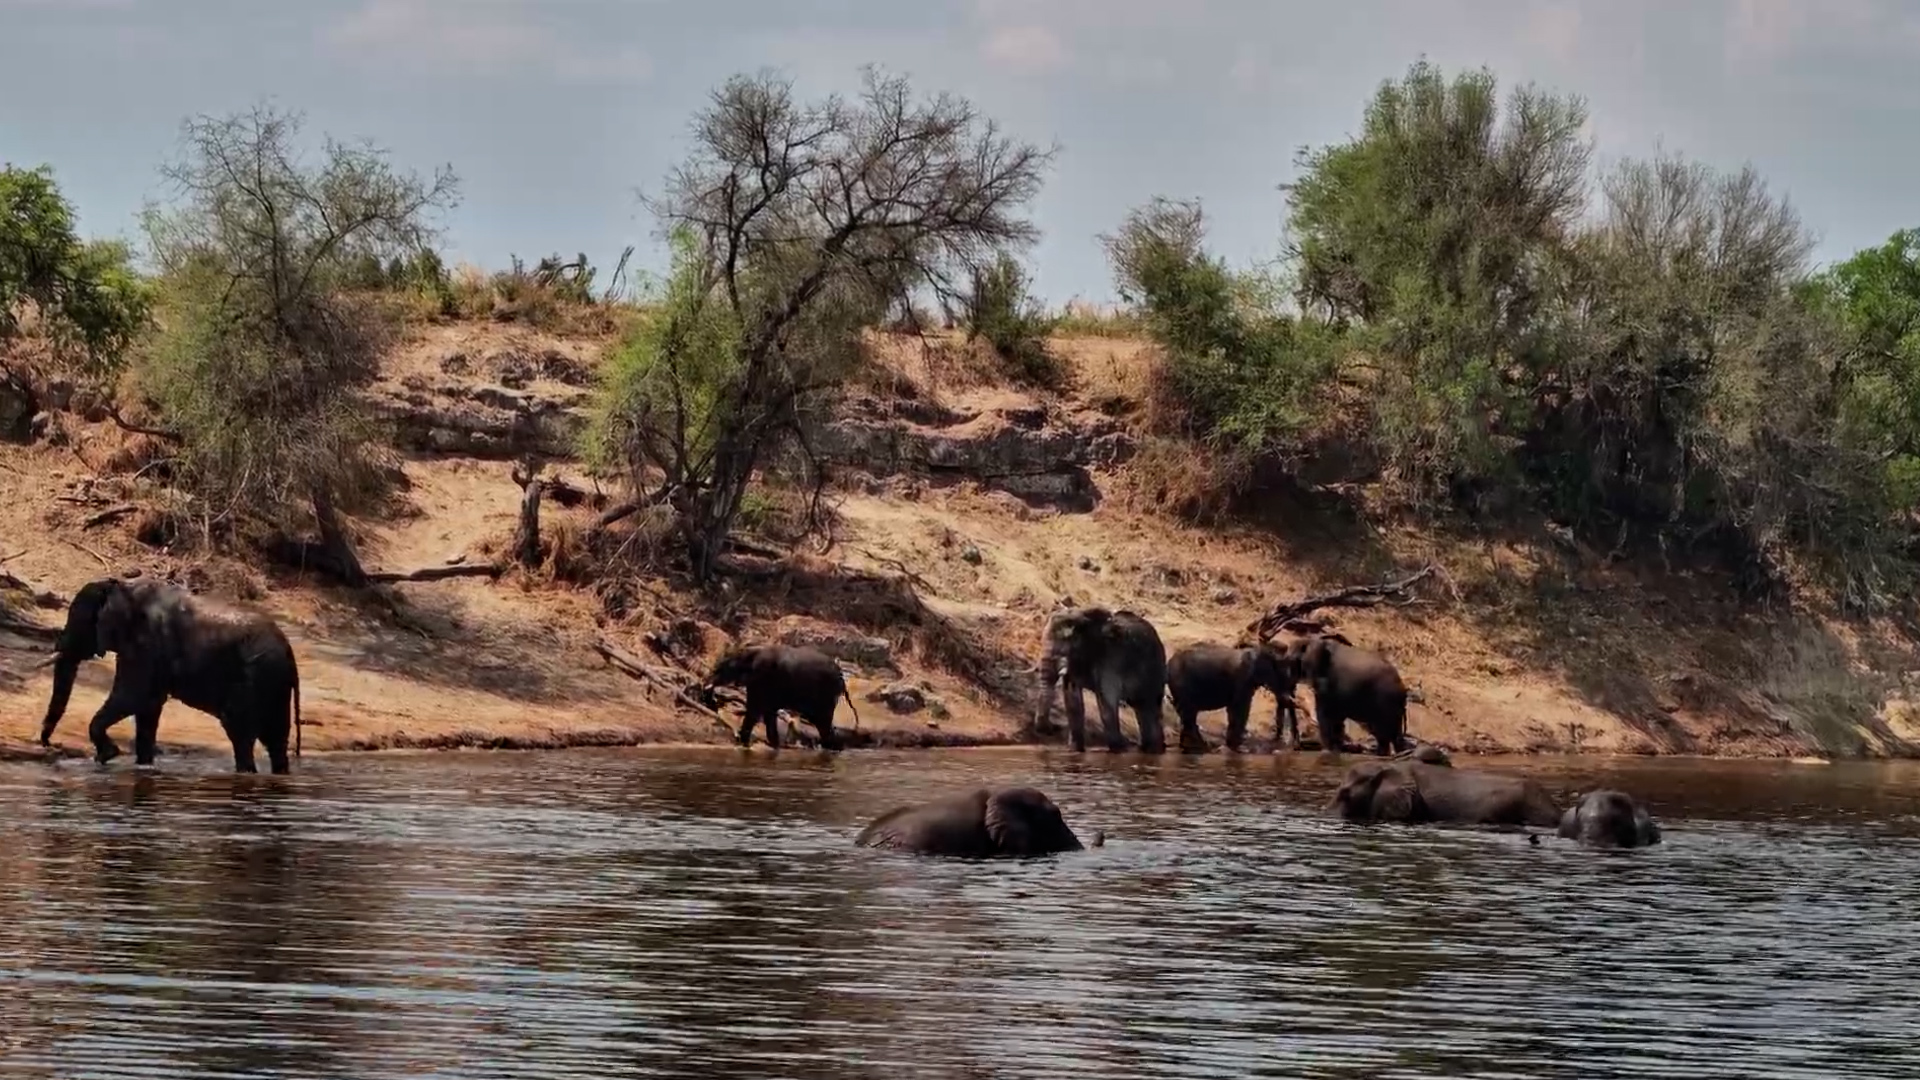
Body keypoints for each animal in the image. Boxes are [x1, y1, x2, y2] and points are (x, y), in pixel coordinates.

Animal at [38, 576, 303, 774]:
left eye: (78, 621)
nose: (49, 744)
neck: (122, 587)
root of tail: (290, 653)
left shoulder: (146, 641)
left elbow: (133, 696)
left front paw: (107, 756)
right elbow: (148, 706)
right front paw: (142, 767)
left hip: (257, 677)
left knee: (239, 732)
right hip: (273, 682)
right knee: (275, 740)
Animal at [702, 643, 856, 750]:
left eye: (720, 669)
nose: (708, 694)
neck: (751, 652)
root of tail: (842, 676)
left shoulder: (761, 677)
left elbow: (754, 710)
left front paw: (742, 742)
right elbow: (768, 713)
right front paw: (774, 746)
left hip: (825, 694)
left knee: (822, 722)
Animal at [1033, 605, 1171, 753]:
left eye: (1066, 640)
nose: (1052, 728)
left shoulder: (1111, 658)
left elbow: (1107, 699)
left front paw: (1119, 749)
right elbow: (1072, 701)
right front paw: (1075, 750)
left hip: (1155, 668)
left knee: (1150, 706)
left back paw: (1153, 750)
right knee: (1141, 708)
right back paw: (1147, 748)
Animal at [1165, 641, 1302, 752]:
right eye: (1280, 671)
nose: (1294, 745)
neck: (1258, 649)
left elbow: (1235, 709)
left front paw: (1233, 746)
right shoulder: (1242, 678)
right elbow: (1240, 707)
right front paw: (1240, 748)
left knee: (1187, 715)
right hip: (1180, 683)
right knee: (1188, 713)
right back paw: (1200, 747)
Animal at [1280, 632, 1410, 755]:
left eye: (1290, 661)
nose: (1294, 746)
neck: (1310, 640)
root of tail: (1403, 689)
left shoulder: (1327, 681)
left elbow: (1325, 713)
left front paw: (1328, 751)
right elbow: (1336, 716)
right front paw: (1335, 751)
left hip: (1386, 702)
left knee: (1383, 731)